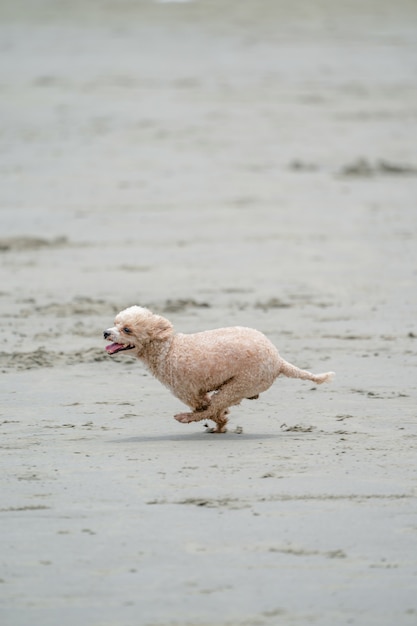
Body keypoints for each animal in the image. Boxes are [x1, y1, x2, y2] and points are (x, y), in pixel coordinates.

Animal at [104, 304, 334, 432]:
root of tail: (278, 360)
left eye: (127, 329)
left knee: (213, 405)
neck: (168, 348)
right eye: (115, 323)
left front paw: (220, 420)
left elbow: (204, 407)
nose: (106, 333)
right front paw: (222, 421)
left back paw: (188, 418)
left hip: (240, 384)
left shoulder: (187, 391)